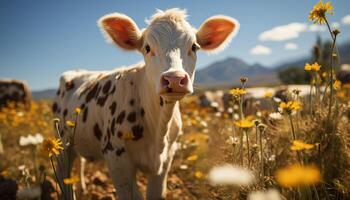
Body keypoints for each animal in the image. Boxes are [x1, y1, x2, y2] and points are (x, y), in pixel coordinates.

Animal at [52, 8, 238, 199]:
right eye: (147, 48)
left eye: (194, 47)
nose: (174, 79)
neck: (157, 130)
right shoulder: (116, 158)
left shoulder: (166, 160)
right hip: (62, 143)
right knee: (63, 175)